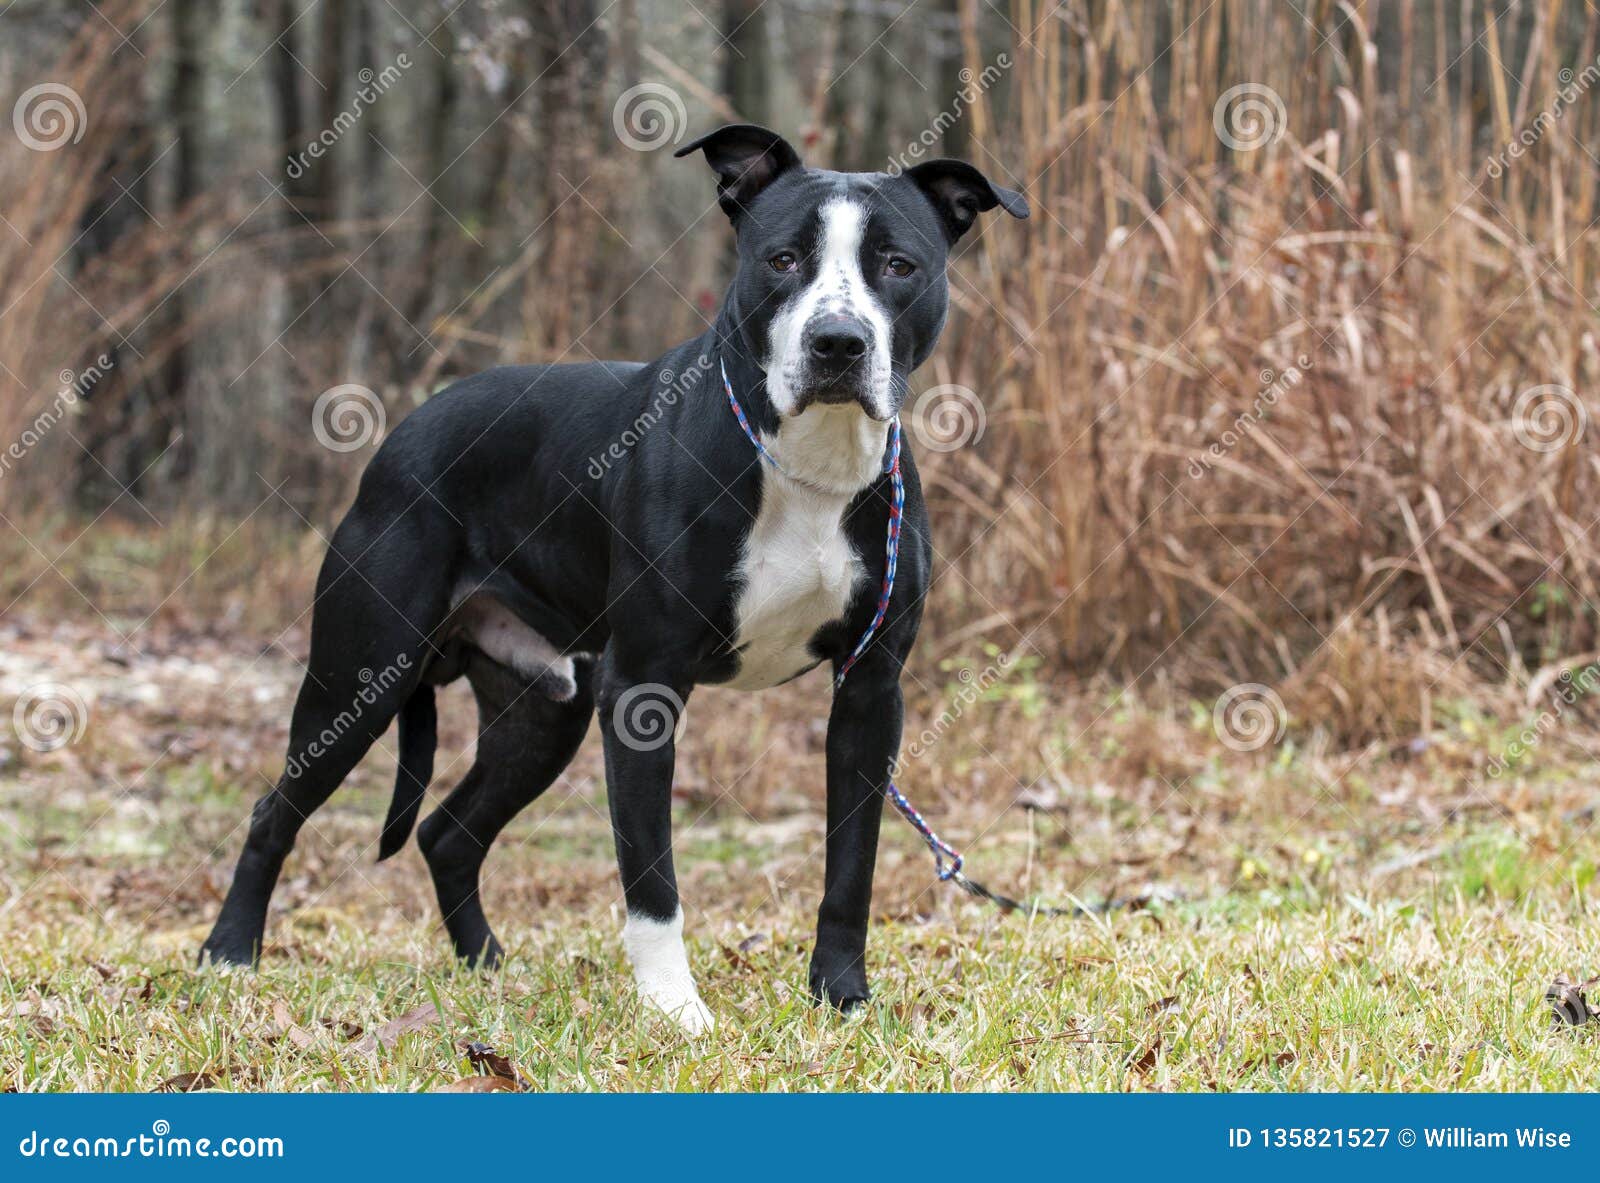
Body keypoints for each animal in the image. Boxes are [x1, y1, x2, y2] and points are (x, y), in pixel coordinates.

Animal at [200, 120, 1030, 1024]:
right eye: (783, 260)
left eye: (898, 265)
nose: (838, 342)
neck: (808, 463)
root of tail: (403, 431)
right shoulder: (641, 689)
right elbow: (652, 880)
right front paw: (675, 1011)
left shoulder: (871, 692)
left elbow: (852, 866)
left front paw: (840, 995)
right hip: (359, 678)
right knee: (275, 810)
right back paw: (228, 955)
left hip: (542, 709)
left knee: (448, 830)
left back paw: (485, 964)